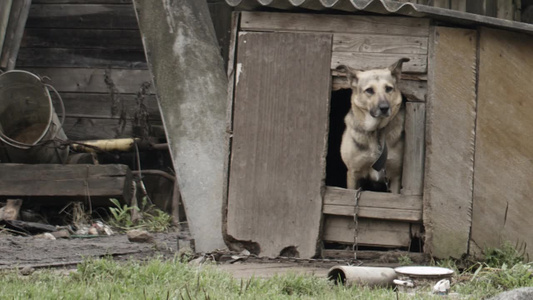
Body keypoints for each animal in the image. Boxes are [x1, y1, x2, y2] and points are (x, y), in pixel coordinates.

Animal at [336, 58, 408, 193]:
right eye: (369, 90)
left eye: (388, 88)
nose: (384, 108)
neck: (376, 131)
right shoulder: (353, 174)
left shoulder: (395, 176)